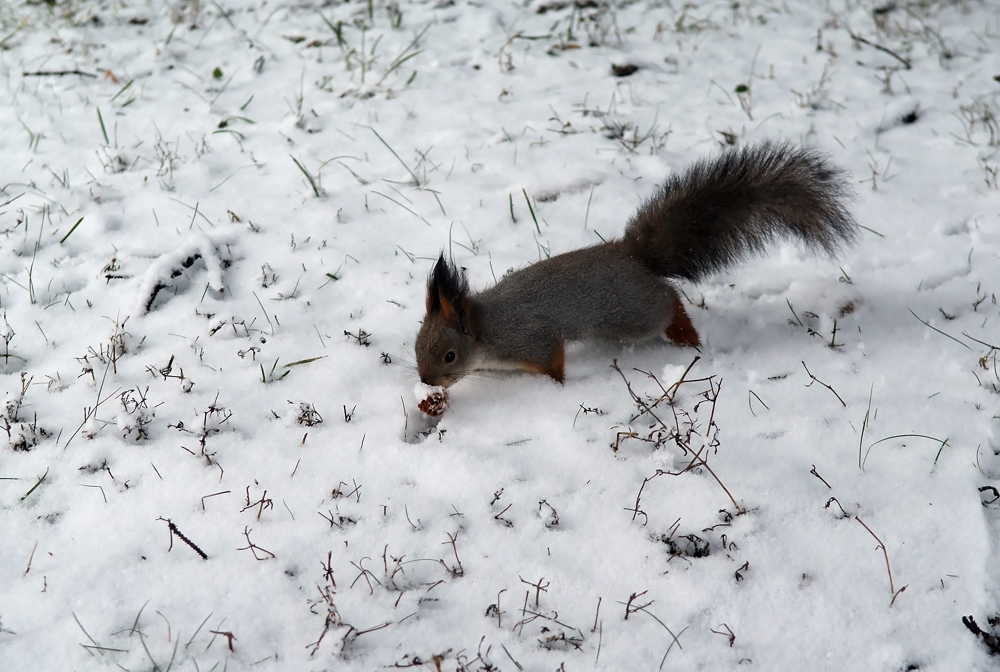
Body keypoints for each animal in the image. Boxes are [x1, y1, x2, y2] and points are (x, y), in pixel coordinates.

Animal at [416, 142, 860, 388]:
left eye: (449, 356)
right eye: (417, 347)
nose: (426, 381)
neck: (487, 330)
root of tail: (633, 255)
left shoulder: (532, 340)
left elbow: (553, 362)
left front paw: (556, 387)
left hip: (633, 312)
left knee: (668, 301)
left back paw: (686, 336)